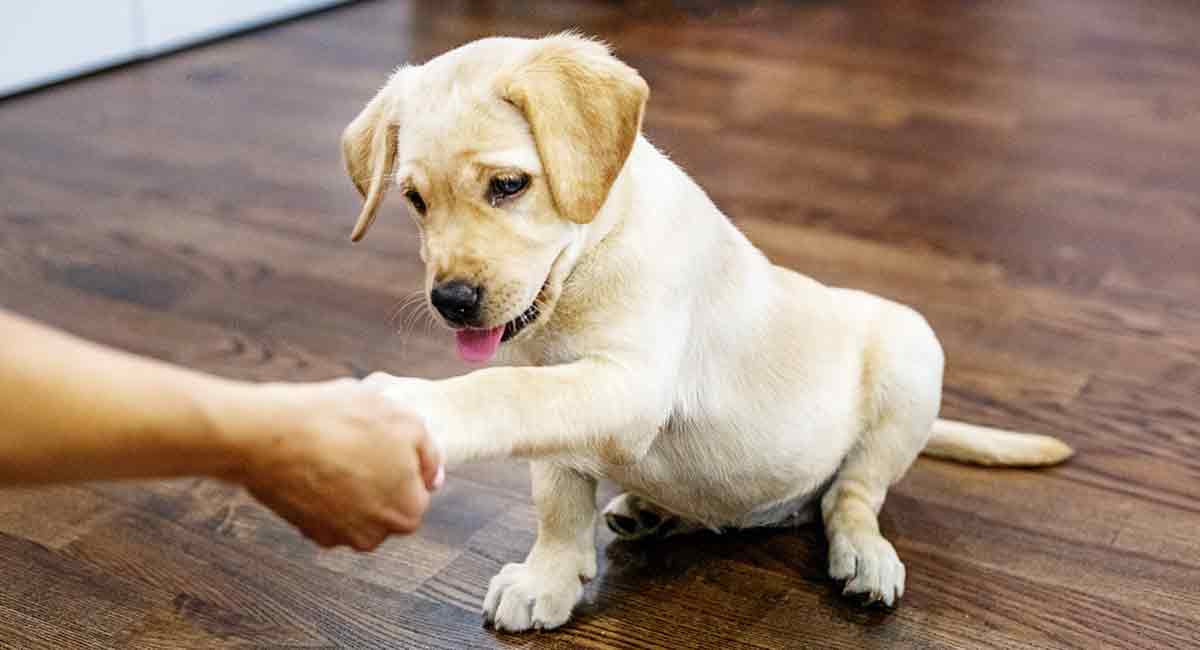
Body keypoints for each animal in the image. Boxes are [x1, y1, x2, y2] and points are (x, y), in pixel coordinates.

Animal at [345, 33, 1070, 633]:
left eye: (508, 185)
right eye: (413, 200)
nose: (451, 301)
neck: (591, 256)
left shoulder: (629, 385)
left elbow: (500, 396)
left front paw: (409, 405)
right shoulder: (556, 395)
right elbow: (555, 490)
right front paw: (547, 577)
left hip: (911, 355)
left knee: (850, 495)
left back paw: (865, 557)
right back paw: (653, 510)